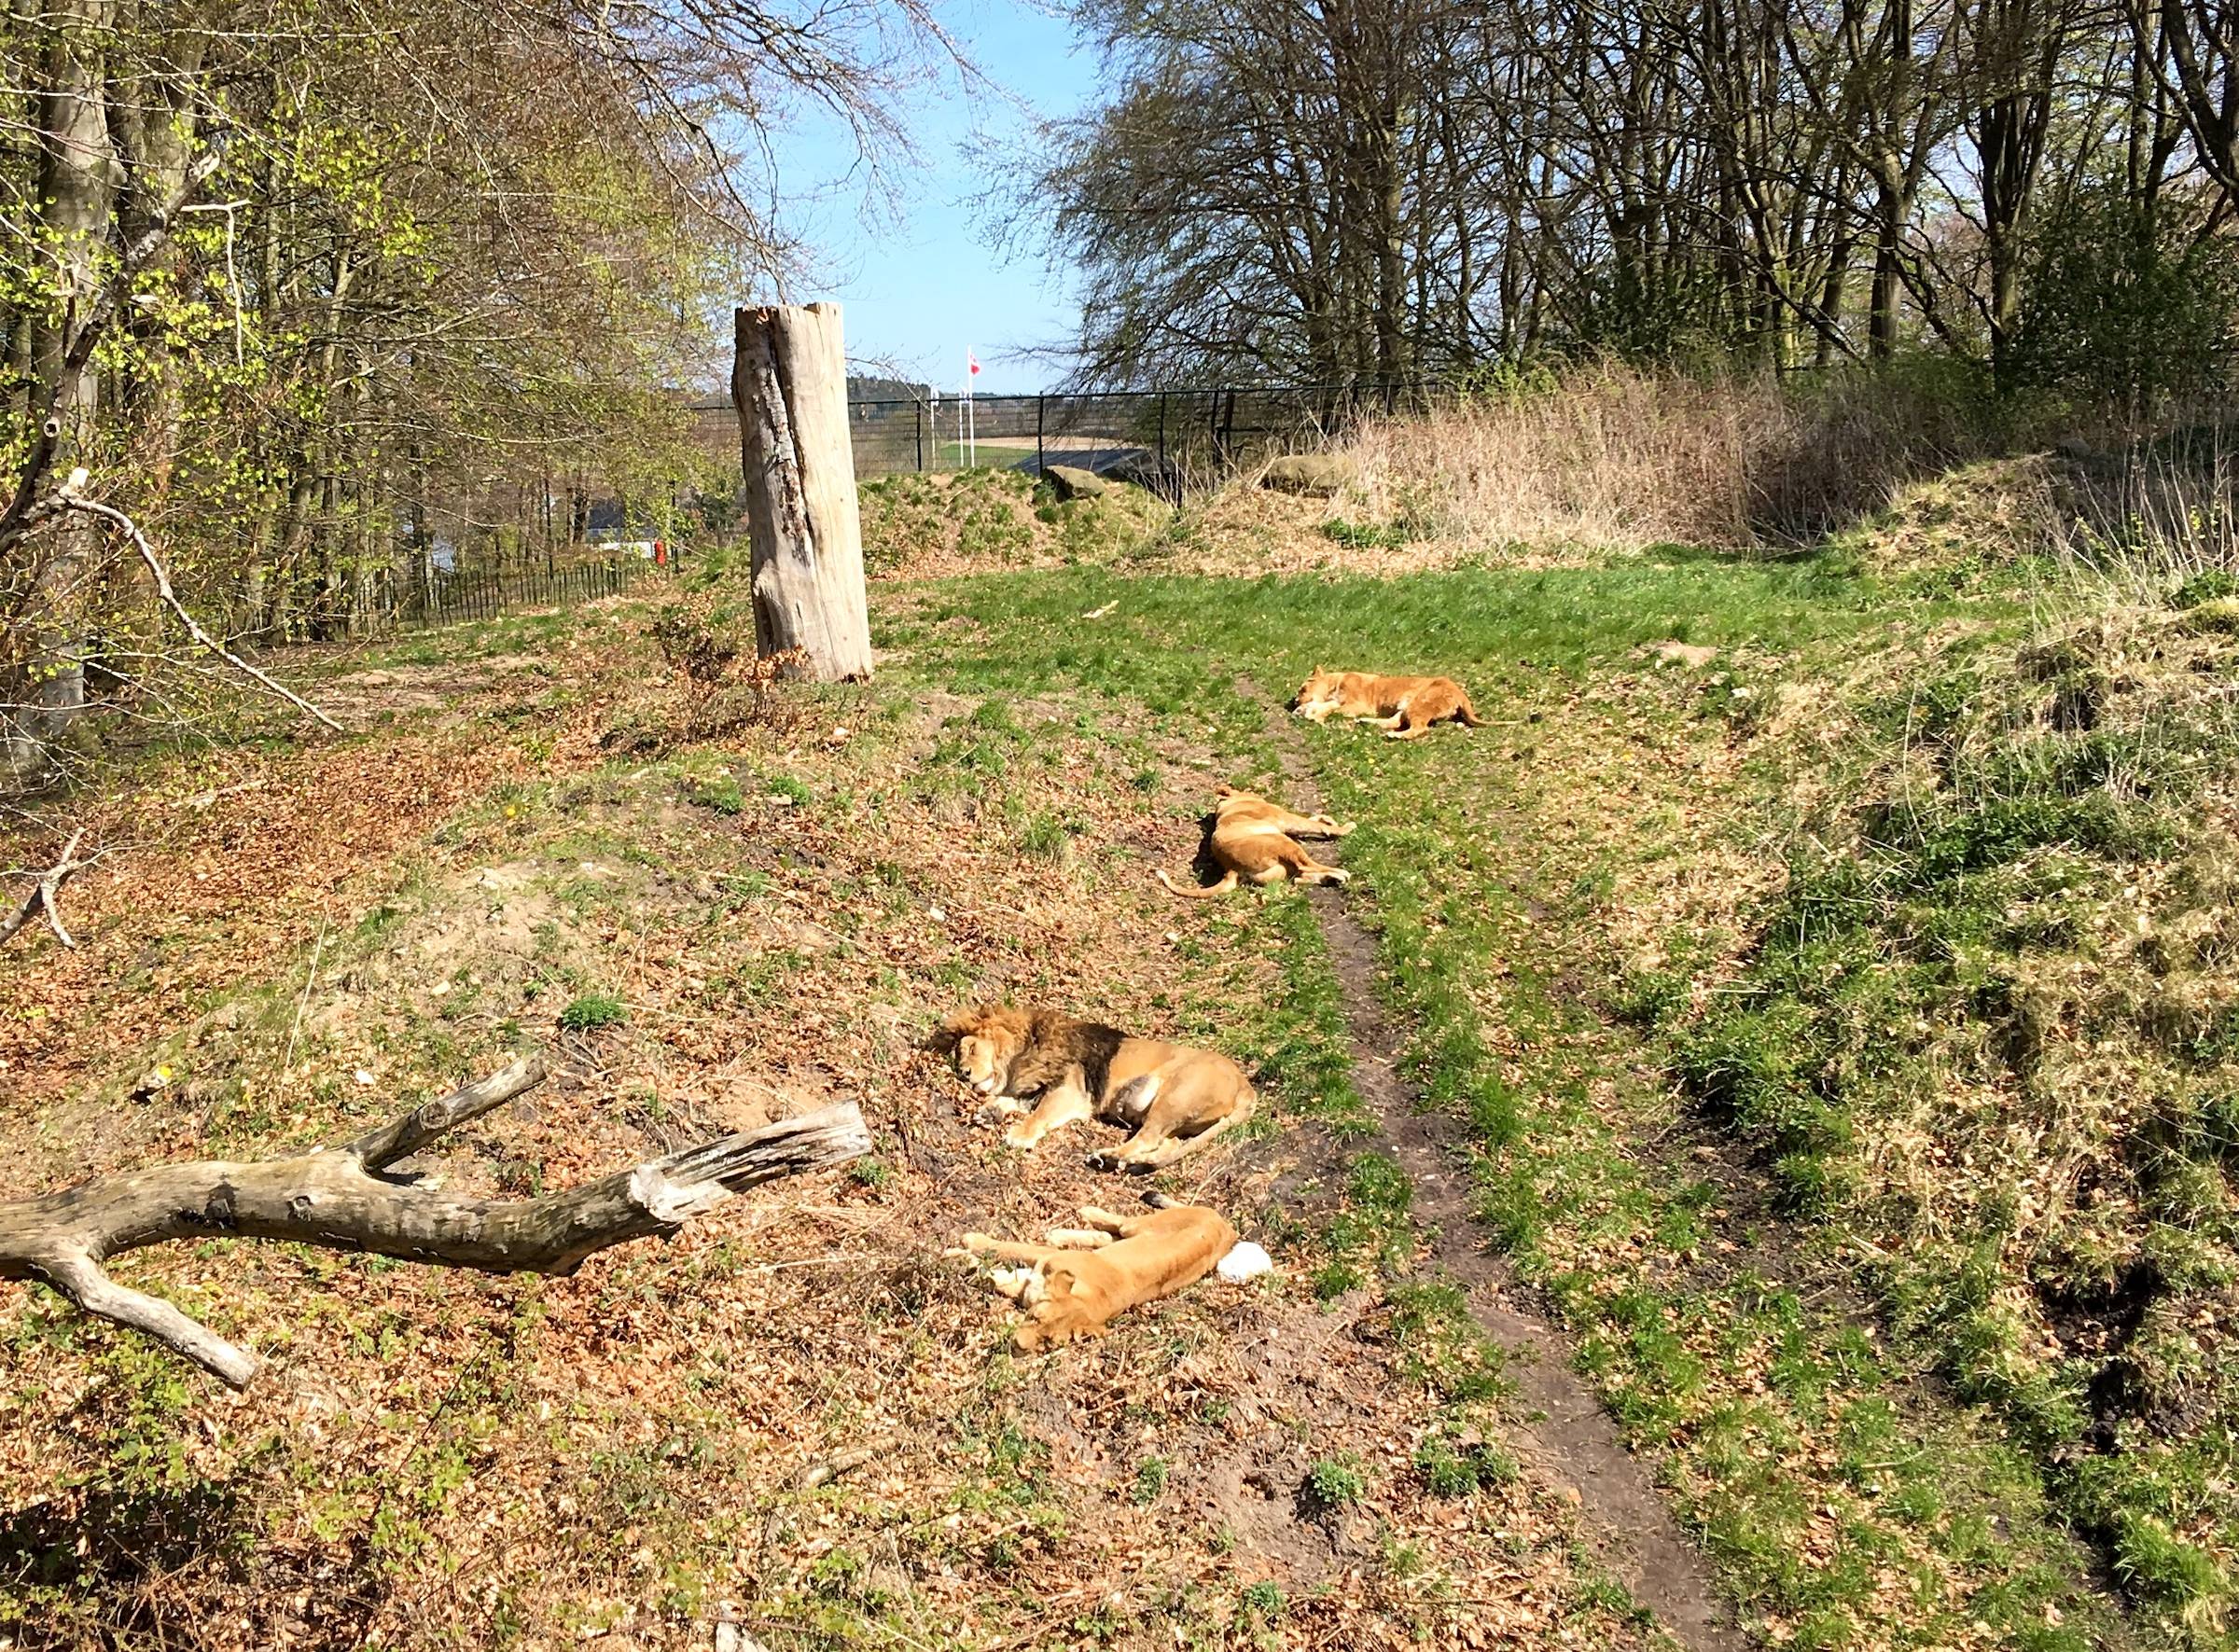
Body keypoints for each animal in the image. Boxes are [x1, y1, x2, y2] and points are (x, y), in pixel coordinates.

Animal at [933, 1003, 1255, 1170]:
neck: (1021, 1053)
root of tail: (1247, 1087)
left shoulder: (1072, 1090)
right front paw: (990, 1111)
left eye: (970, 1048)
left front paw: (1019, 1136)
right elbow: (1012, 1100)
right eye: (958, 1055)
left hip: (1175, 1097)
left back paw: (1109, 1156)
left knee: (1148, 1138)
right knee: (1168, 1144)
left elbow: (1038, 1115)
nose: (962, 1072)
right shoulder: (1035, 1086)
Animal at [949, 1199, 1241, 1351]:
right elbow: (1008, 1247)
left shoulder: (1026, 1283)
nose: (1019, 1346)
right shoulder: (1041, 1261)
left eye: (1048, 1341)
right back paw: (1086, 1213)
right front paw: (968, 1242)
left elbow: (990, 1273)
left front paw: (960, 1257)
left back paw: (1063, 1231)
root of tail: (1228, 1228)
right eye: (1034, 1318)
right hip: (1138, 1225)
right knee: (1116, 1225)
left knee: (1105, 1237)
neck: (1091, 1296)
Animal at [1158, 785, 1353, 899]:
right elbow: (1311, 824)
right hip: (1283, 842)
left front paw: (1328, 820)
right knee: (1306, 866)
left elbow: (1315, 821)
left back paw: (1332, 879)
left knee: (1299, 878)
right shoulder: (1285, 819)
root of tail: (1232, 868)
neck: (1228, 805)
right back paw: (1340, 874)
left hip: (1279, 871)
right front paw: (1345, 828)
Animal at [1292, 667, 1483, 739]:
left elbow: (1331, 707)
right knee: (1394, 722)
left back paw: (1394, 736)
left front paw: (1311, 714)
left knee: (1419, 728)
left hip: (1418, 703)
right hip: (1406, 707)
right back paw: (1366, 723)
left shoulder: (1358, 705)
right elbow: (1327, 705)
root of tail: (1461, 693)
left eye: (1302, 689)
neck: (1336, 683)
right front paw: (1304, 710)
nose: (1295, 701)